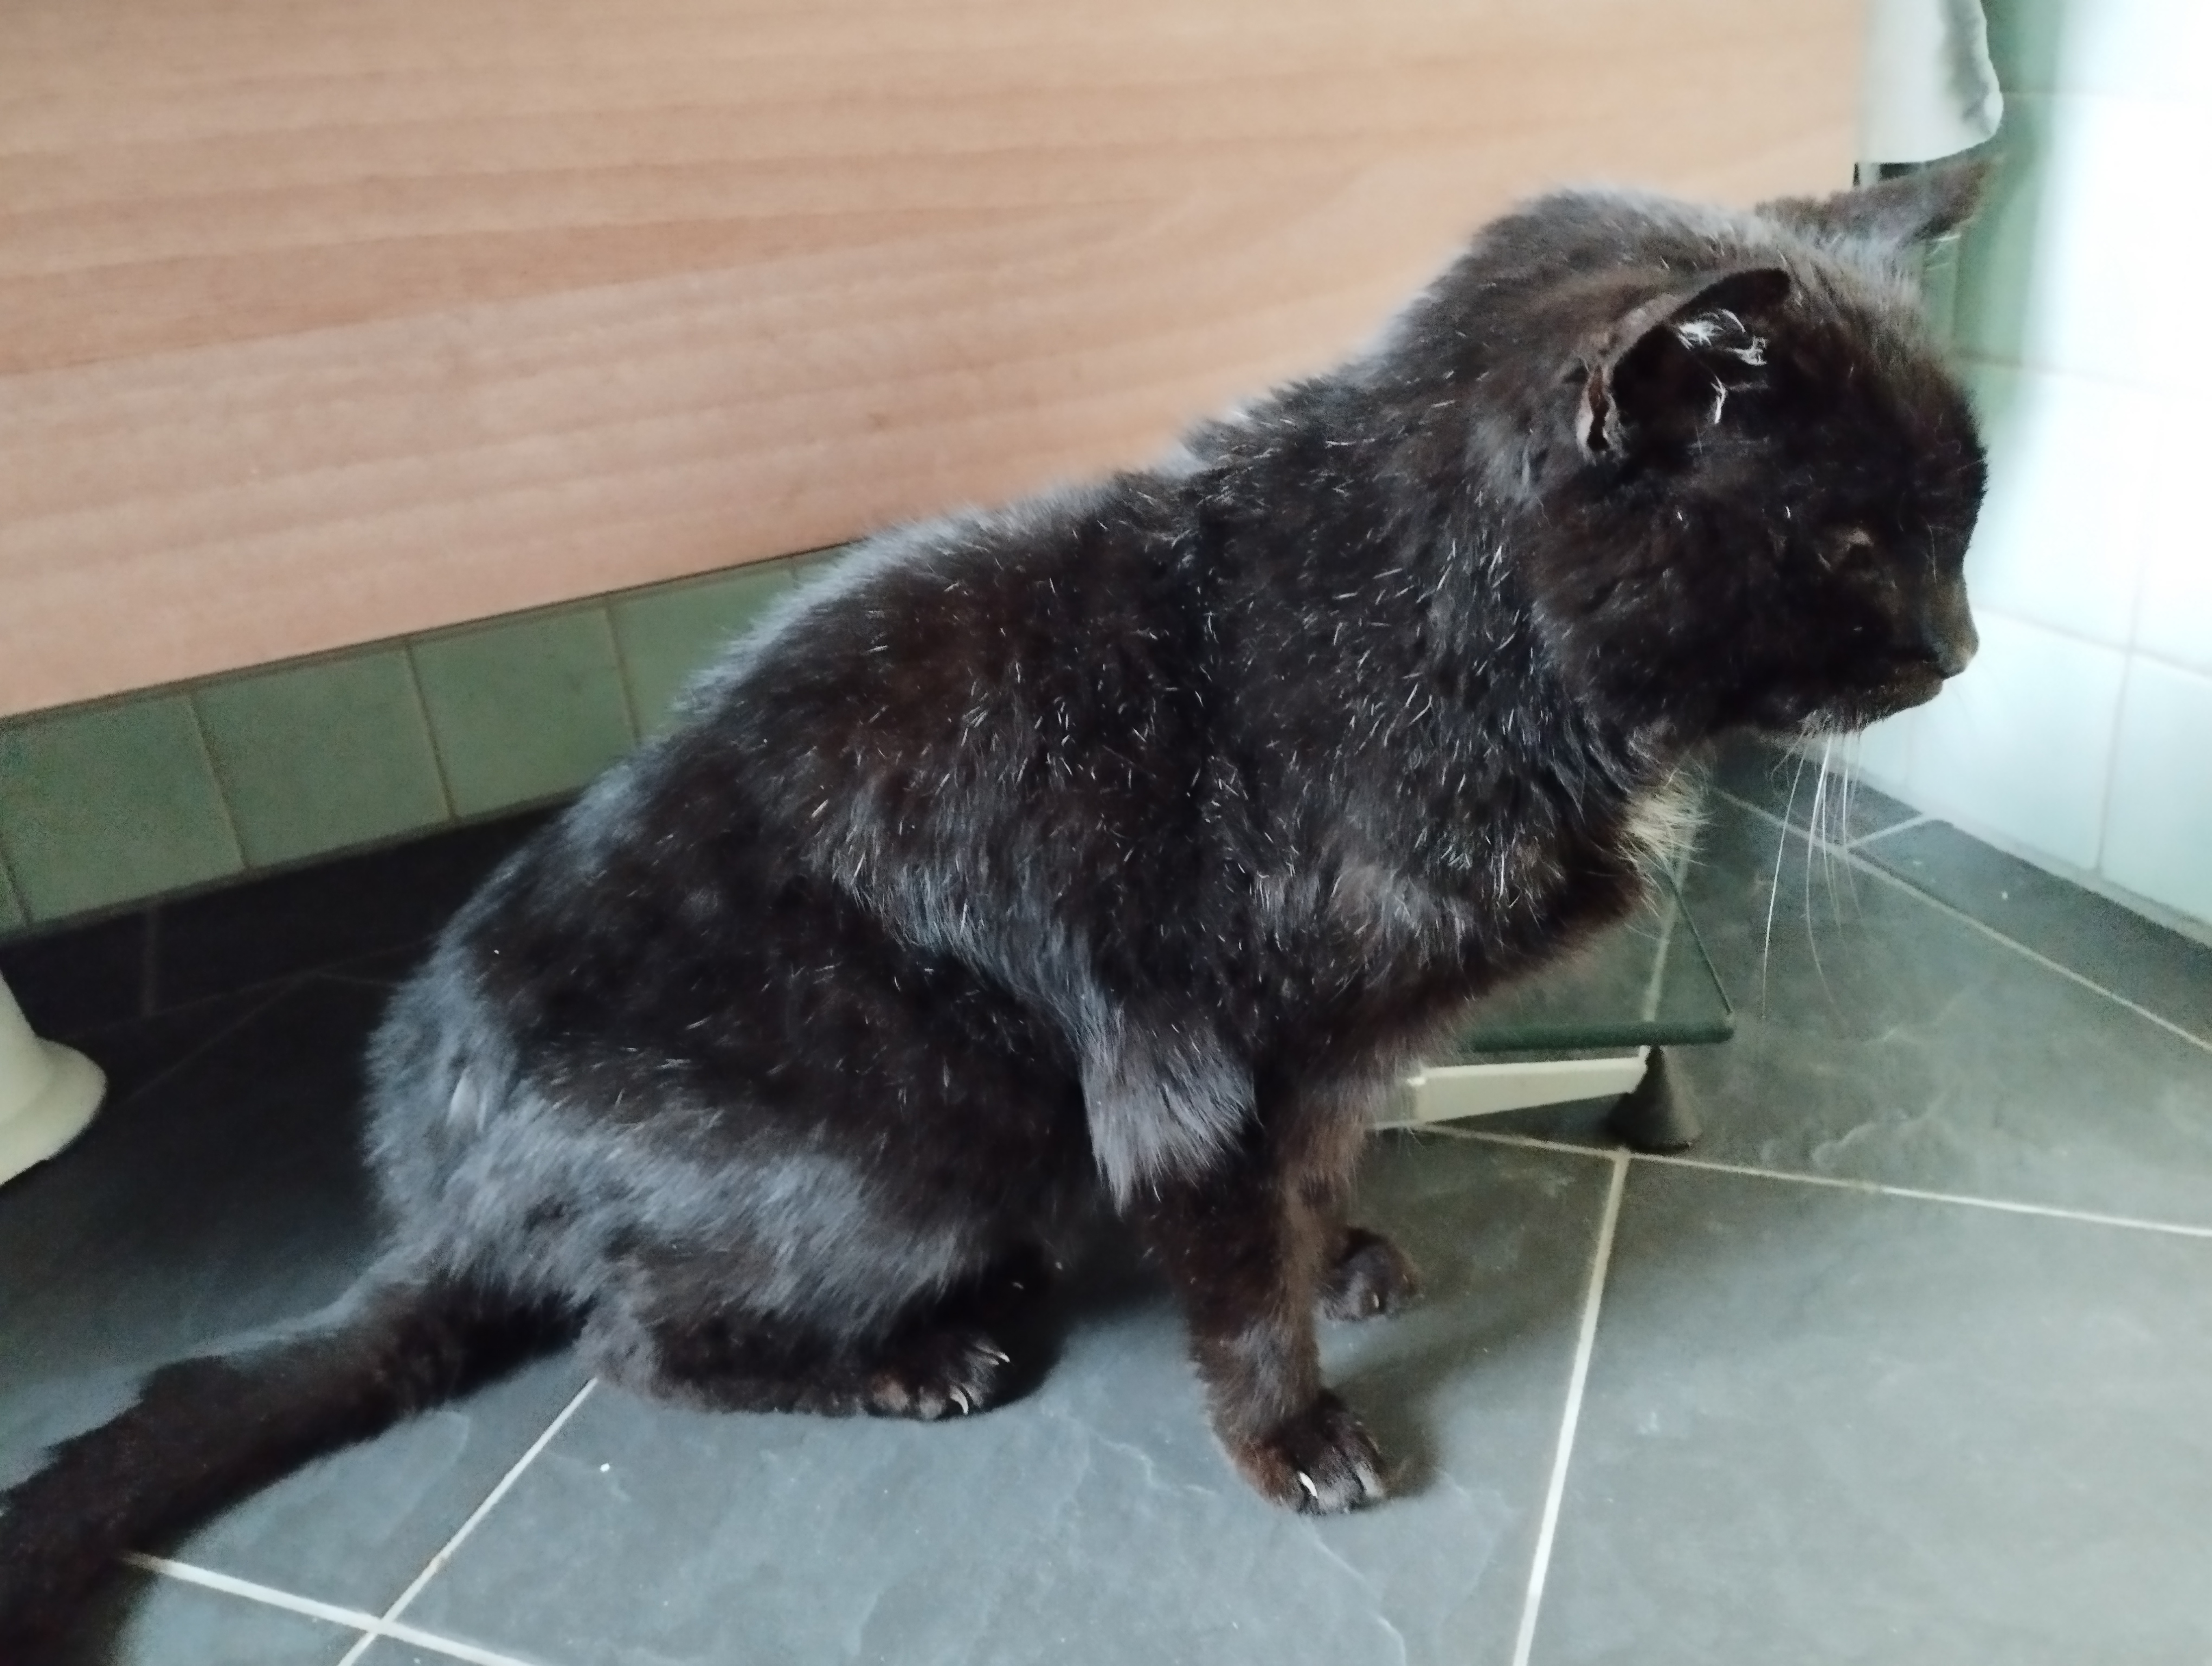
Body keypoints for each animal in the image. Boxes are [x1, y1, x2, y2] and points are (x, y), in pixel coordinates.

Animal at [0, 162, 1987, 1653]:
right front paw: (1292, 1434)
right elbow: (1234, 1277)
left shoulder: (1338, 1052)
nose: (1963, 647)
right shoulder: (1183, 1067)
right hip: (920, 1124)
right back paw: (924, 1359)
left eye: (1962, 522)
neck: (1433, 637)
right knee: (635, 1339)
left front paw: (1342, 1247)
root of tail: (434, 1198)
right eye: (1858, 543)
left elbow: (1317, 1175)